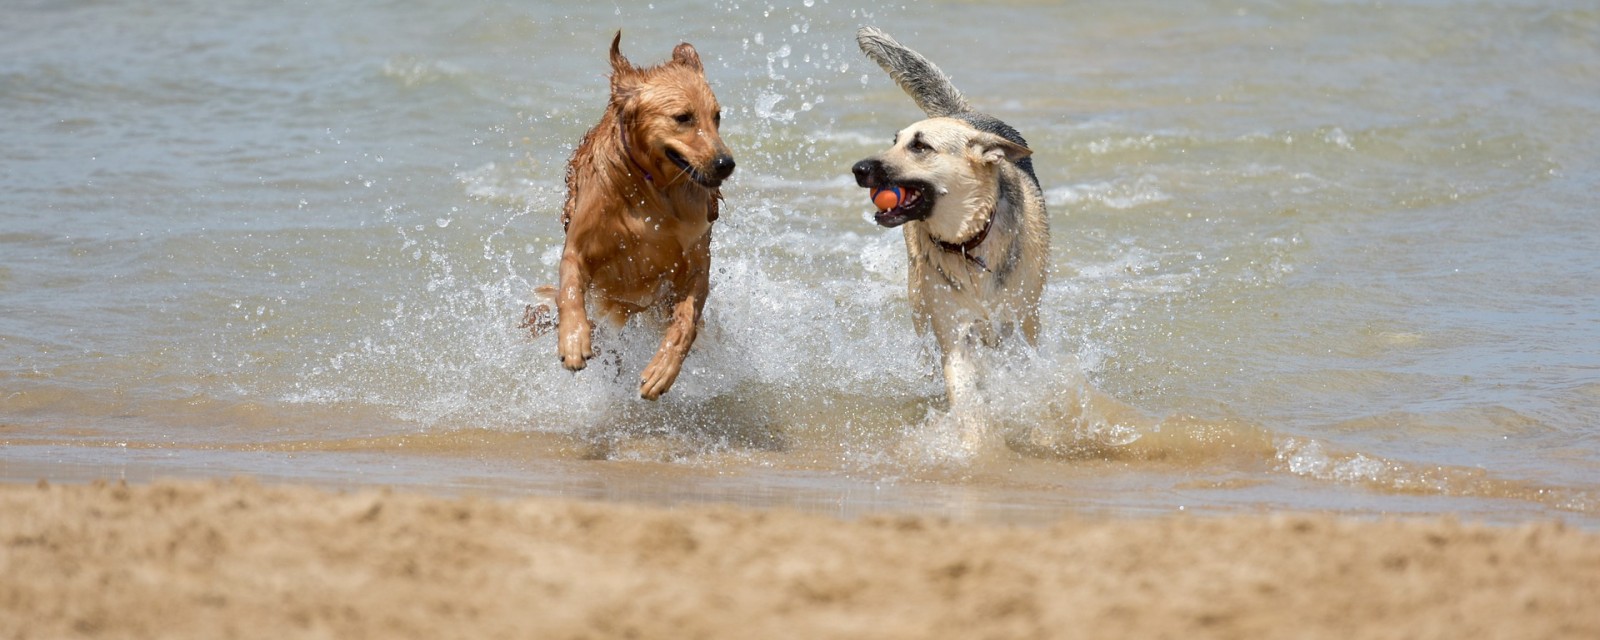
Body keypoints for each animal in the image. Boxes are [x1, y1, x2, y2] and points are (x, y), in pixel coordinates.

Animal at [531, 31, 742, 400]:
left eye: (716, 117)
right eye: (683, 117)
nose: (725, 164)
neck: (652, 191)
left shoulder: (696, 263)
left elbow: (685, 320)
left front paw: (663, 369)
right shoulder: (579, 248)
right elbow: (569, 289)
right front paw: (573, 340)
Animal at [851, 26, 1049, 409]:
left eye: (919, 146)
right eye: (894, 142)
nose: (859, 169)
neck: (968, 241)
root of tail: (963, 115)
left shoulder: (1019, 325)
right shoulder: (955, 333)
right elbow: (965, 394)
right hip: (918, 299)